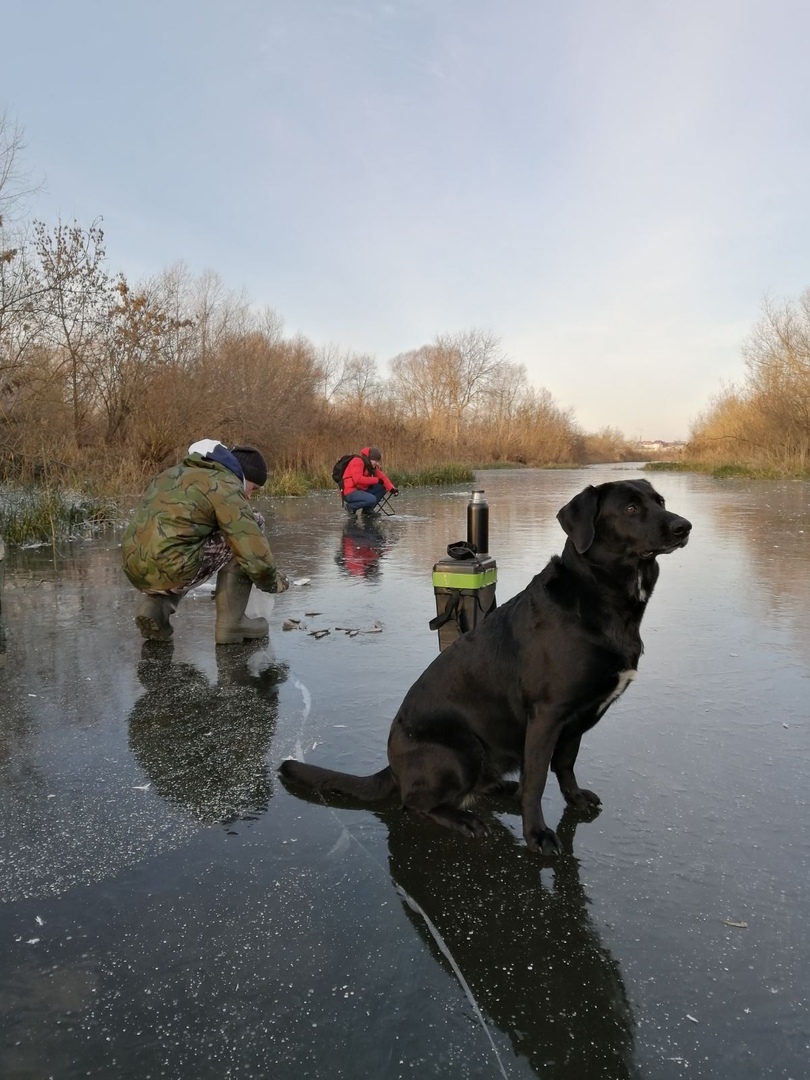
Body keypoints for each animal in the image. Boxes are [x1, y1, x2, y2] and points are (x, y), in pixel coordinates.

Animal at [280, 481, 691, 851]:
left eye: (660, 501)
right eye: (631, 509)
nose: (683, 526)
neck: (599, 596)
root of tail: (392, 768)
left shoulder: (576, 717)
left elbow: (565, 764)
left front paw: (573, 798)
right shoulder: (547, 716)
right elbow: (538, 780)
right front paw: (537, 835)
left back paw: (503, 787)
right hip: (463, 748)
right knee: (415, 803)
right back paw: (464, 819)